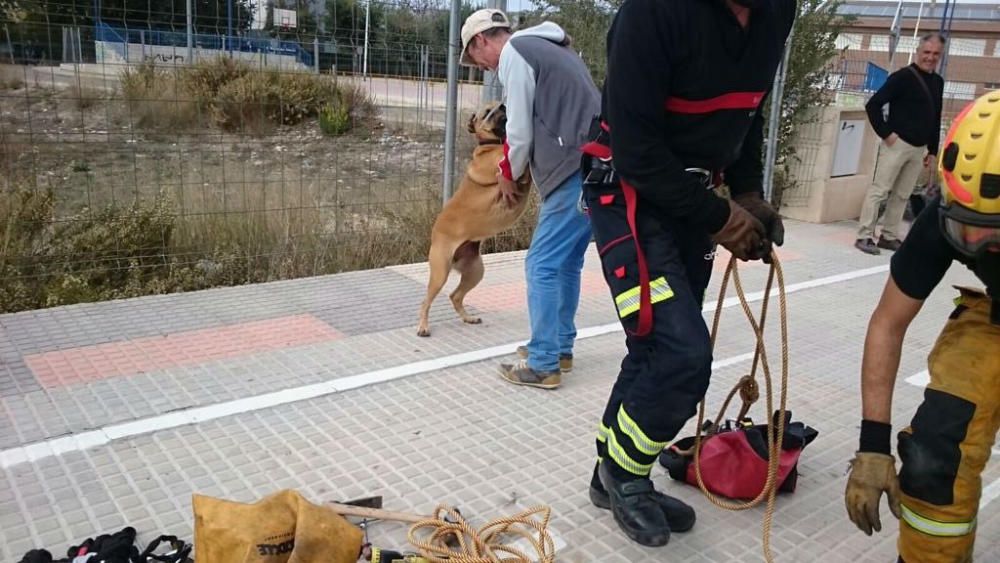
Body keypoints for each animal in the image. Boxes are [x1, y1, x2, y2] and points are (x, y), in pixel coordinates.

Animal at [416, 103, 536, 338]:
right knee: (426, 301)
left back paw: (468, 318)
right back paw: (423, 327)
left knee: (455, 296)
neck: (492, 144)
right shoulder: (511, 168)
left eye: (499, 105)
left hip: (475, 271)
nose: (503, 105)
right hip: (440, 272)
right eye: (487, 112)